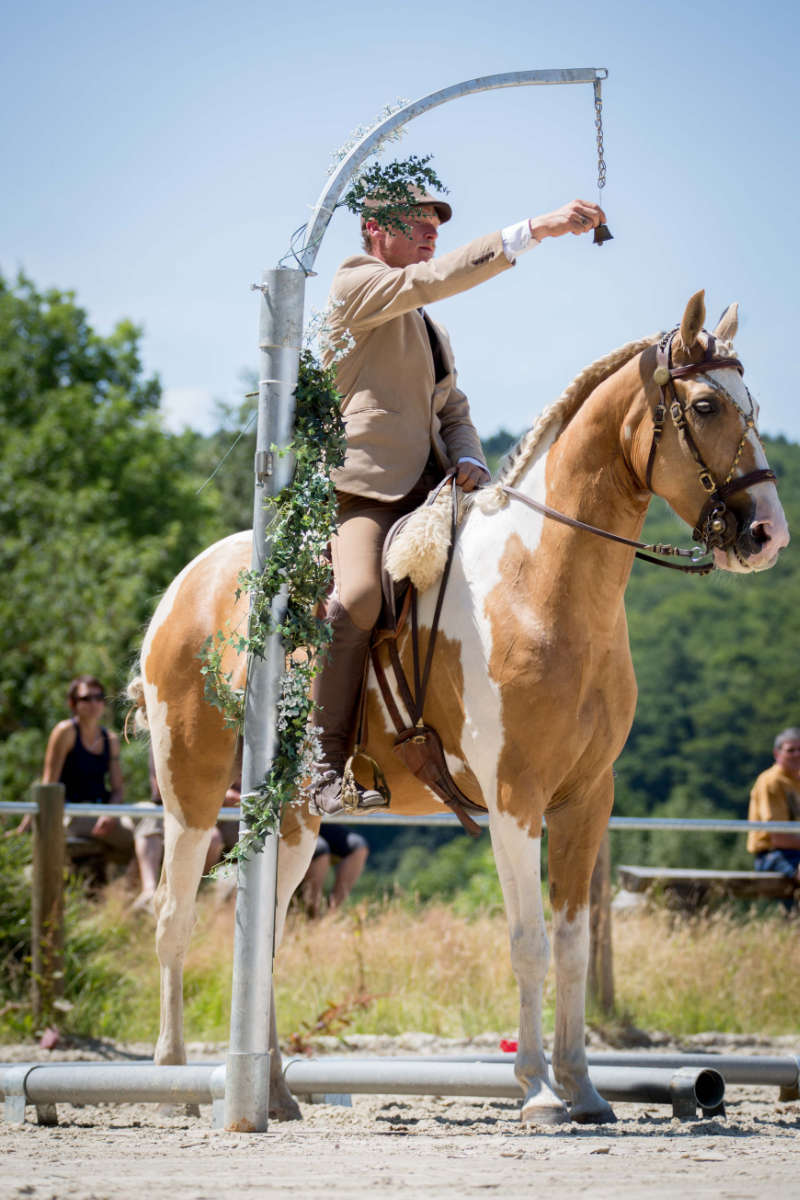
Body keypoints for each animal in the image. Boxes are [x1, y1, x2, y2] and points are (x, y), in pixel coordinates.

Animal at [131, 290, 786, 1123]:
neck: (544, 584)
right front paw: (537, 1091)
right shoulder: (515, 798)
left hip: (296, 813)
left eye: (751, 406)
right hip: (190, 791)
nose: (768, 534)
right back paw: (175, 1082)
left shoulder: (586, 799)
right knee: (175, 920)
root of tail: (187, 585)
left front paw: (583, 1089)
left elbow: (572, 945)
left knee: (267, 928)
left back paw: (273, 1090)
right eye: (704, 405)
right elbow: (528, 941)